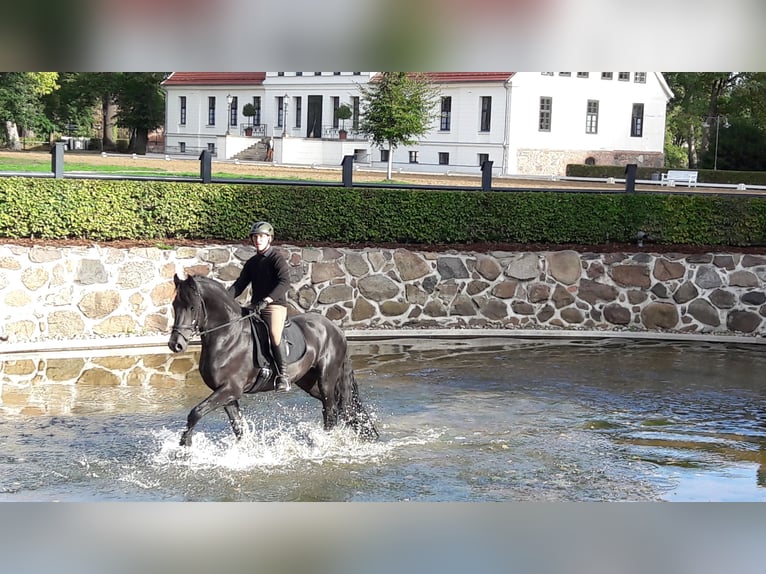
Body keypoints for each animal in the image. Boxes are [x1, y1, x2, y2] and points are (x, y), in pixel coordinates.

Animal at [167, 276, 378, 450]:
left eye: (192, 307)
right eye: (175, 305)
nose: (175, 344)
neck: (228, 336)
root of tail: (336, 329)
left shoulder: (230, 389)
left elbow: (195, 413)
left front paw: (184, 446)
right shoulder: (227, 394)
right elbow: (238, 427)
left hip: (326, 377)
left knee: (331, 410)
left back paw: (325, 443)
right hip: (309, 382)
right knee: (342, 407)